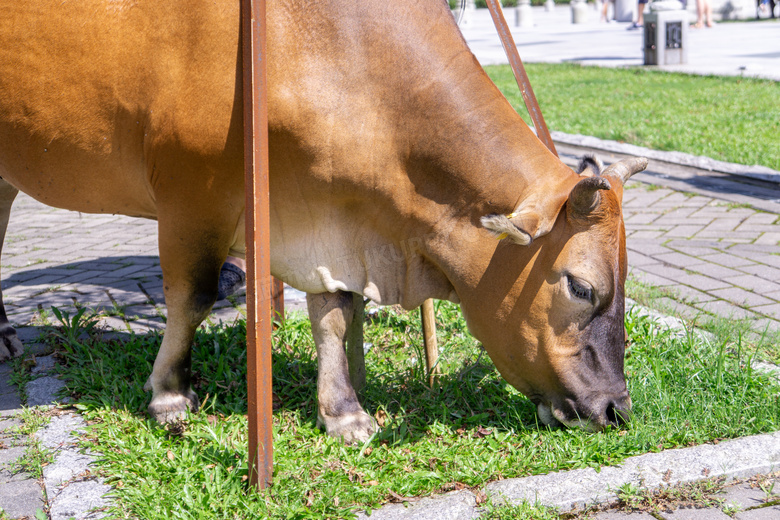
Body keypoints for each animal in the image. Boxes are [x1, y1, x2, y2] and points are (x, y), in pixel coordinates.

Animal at [0, 0, 644, 440]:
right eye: (580, 286)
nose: (615, 408)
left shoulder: (325, 219)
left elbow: (334, 315)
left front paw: (343, 412)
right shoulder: (191, 195)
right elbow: (193, 299)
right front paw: (169, 395)